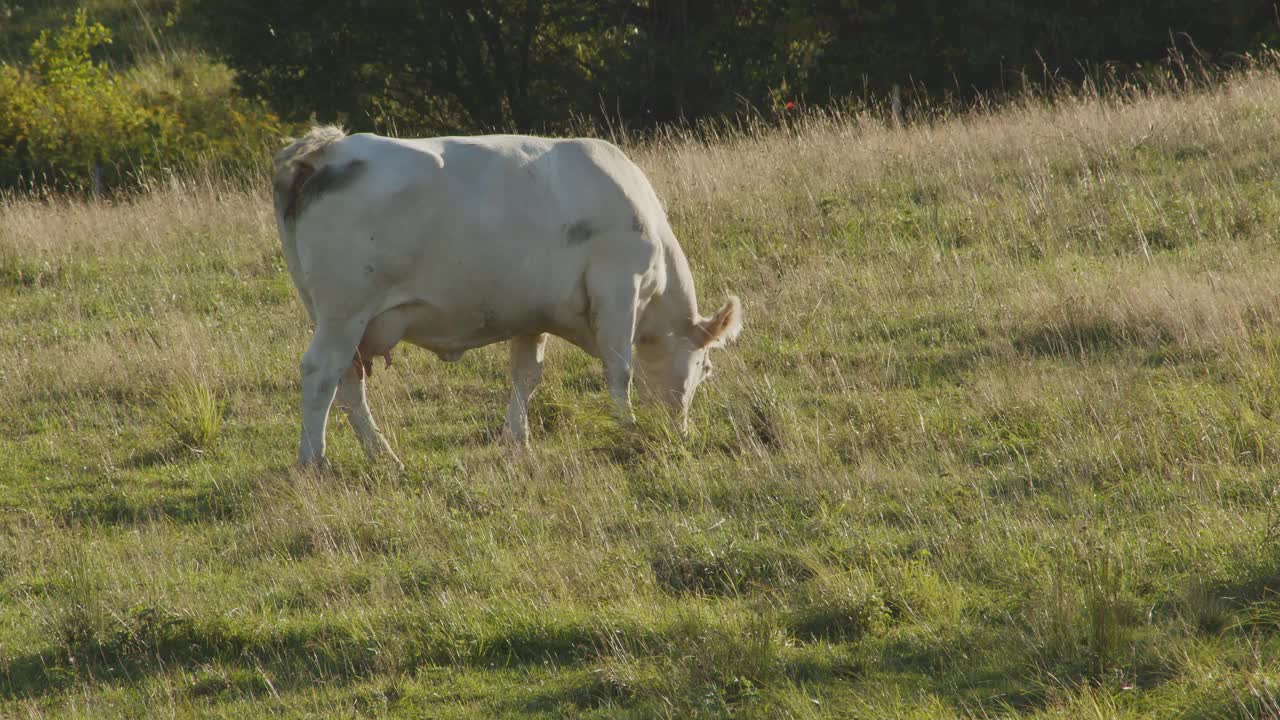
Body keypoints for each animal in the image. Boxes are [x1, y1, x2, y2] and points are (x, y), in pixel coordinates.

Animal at [275, 126, 747, 468]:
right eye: (705, 368)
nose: (680, 435)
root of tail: (329, 148)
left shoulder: (531, 314)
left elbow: (526, 374)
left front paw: (516, 441)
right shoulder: (617, 288)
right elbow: (620, 370)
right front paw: (627, 430)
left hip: (336, 318)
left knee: (348, 383)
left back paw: (383, 455)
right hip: (344, 313)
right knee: (321, 373)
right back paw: (314, 462)